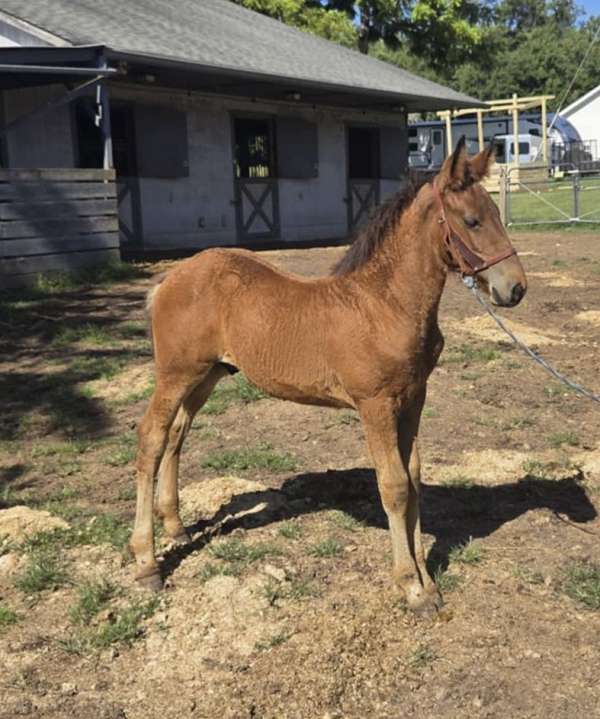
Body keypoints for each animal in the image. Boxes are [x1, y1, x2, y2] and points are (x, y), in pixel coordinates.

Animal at [130, 137, 527, 613]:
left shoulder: (414, 399)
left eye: (497, 214)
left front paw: (427, 582)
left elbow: (414, 480)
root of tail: (166, 282)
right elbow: (394, 486)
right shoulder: (375, 405)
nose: (516, 288)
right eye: (471, 220)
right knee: (152, 438)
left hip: (207, 375)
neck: (385, 304)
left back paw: (176, 527)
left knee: (176, 436)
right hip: (176, 374)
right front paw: (411, 587)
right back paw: (147, 563)